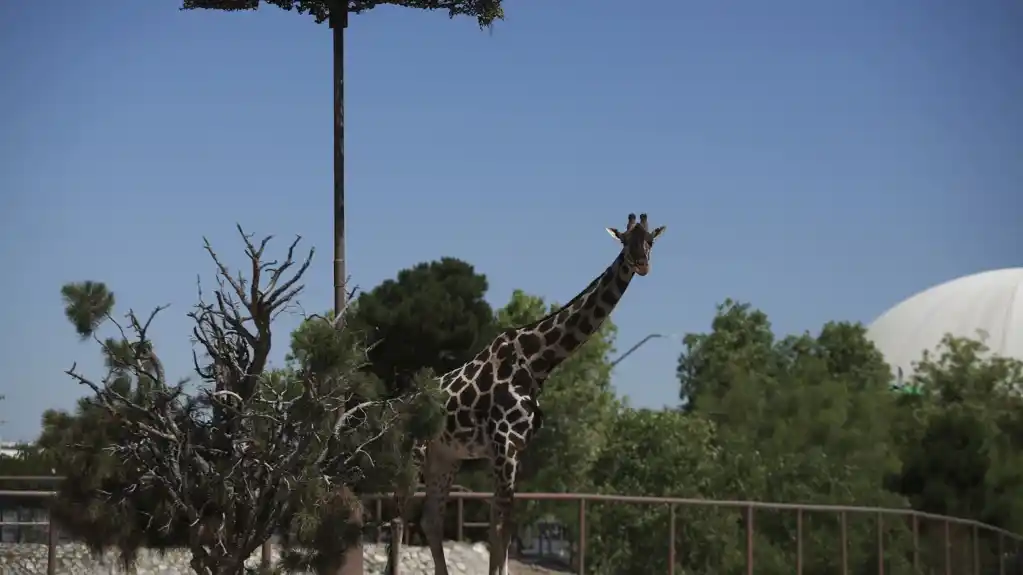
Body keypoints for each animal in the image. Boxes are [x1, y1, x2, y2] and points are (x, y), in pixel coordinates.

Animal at [386, 211, 666, 572]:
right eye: (625, 240)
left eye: (650, 240)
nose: (642, 264)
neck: (538, 362)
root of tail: (394, 409)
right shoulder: (503, 445)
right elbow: (499, 528)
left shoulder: (515, 450)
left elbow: (504, 528)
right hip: (412, 453)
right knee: (396, 517)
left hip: (444, 458)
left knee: (430, 519)